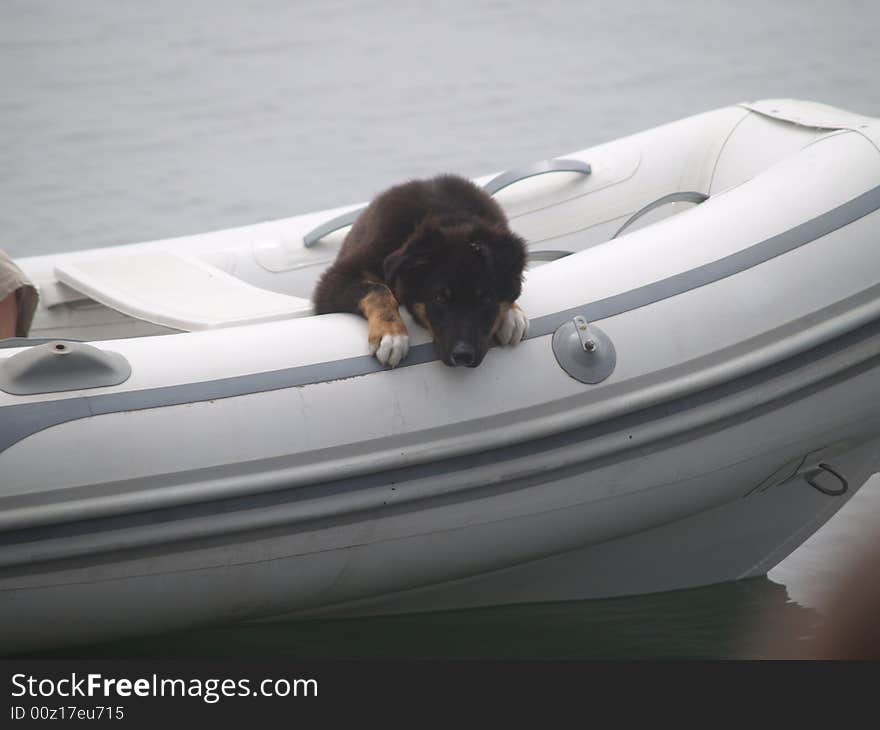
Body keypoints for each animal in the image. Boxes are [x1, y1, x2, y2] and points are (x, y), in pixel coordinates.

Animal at [312, 174, 524, 366]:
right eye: (440, 298)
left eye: (487, 298)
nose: (463, 356)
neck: (448, 217)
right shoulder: (334, 280)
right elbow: (378, 289)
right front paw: (392, 334)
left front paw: (513, 314)